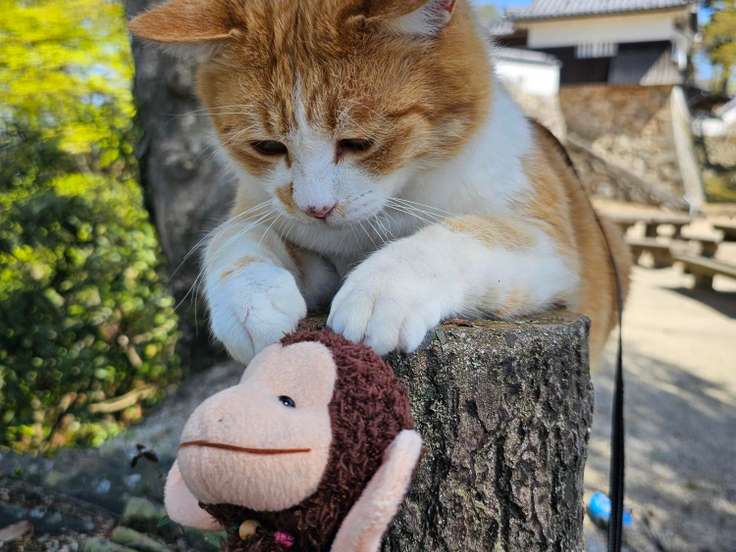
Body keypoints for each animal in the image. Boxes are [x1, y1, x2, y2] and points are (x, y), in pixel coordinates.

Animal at [129, 0, 630, 366]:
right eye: (268, 147)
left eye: (358, 142)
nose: (317, 208)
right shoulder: (275, 218)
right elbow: (234, 238)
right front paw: (250, 300)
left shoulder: (547, 241)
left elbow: (461, 235)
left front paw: (383, 287)